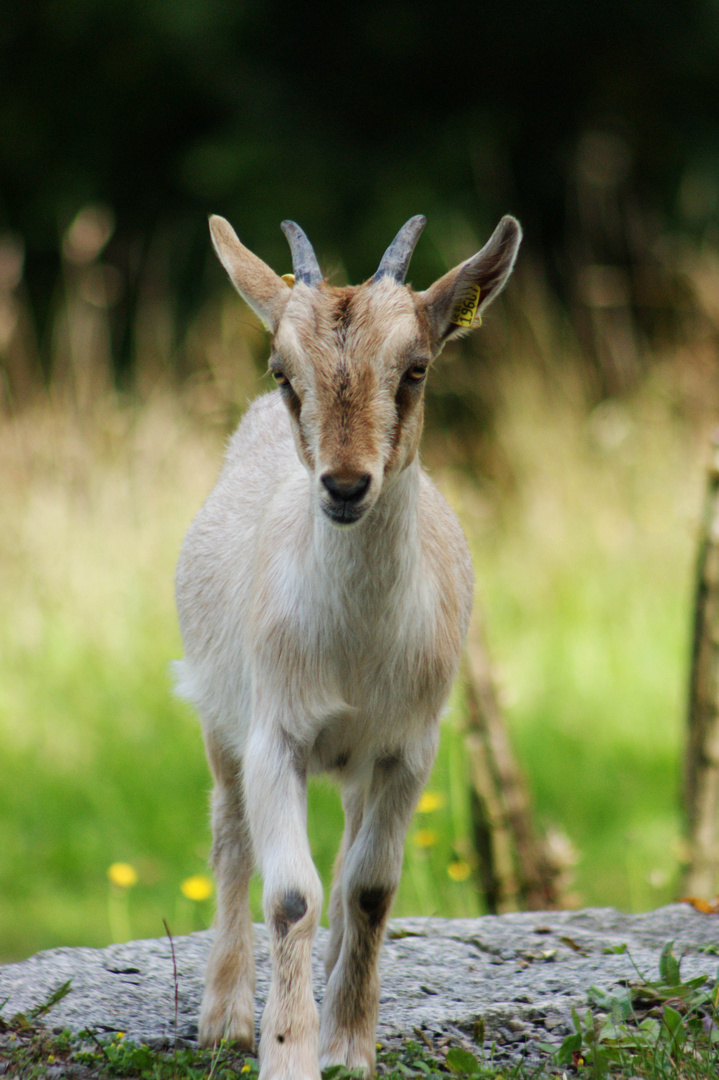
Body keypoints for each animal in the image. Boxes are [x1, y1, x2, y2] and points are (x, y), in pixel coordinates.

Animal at [173, 210, 520, 1080]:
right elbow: (288, 894)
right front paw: (287, 1052)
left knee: (344, 868)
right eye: (282, 371)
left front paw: (349, 1049)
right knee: (230, 836)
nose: (343, 485)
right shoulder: (276, 734)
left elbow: (366, 890)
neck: (355, 649)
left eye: (417, 368)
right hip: (218, 715)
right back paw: (224, 1016)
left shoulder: (408, 748)